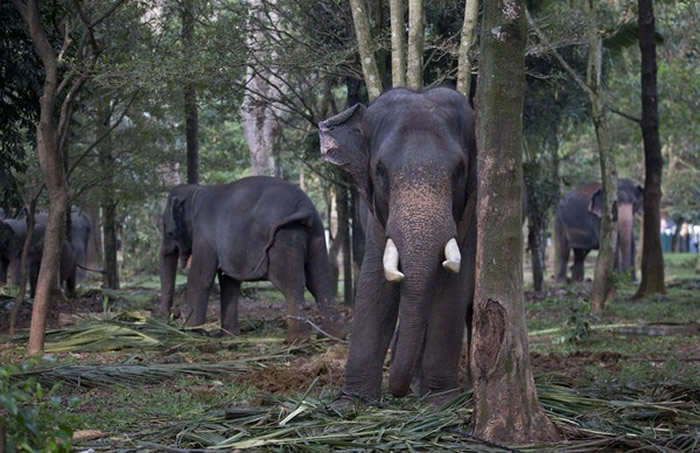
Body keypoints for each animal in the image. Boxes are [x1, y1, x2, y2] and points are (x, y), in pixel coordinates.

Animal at [157, 175, 346, 340]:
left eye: (169, 230)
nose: (173, 313)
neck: (196, 191)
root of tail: (305, 207)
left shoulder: (204, 235)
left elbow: (200, 278)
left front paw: (191, 333)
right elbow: (229, 281)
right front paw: (229, 336)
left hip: (284, 238)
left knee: (291, 285)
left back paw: (296, 341)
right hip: (316, 235)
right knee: (320, 280)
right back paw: (331, 336)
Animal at [318, 86, 478, 400]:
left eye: (459, 170)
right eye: (380, 170)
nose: (396, 393)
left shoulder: (471, 211)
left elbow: (454, 286)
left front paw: (440, 401)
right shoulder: (374, 218)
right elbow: (375, 286)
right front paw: (353, 401)